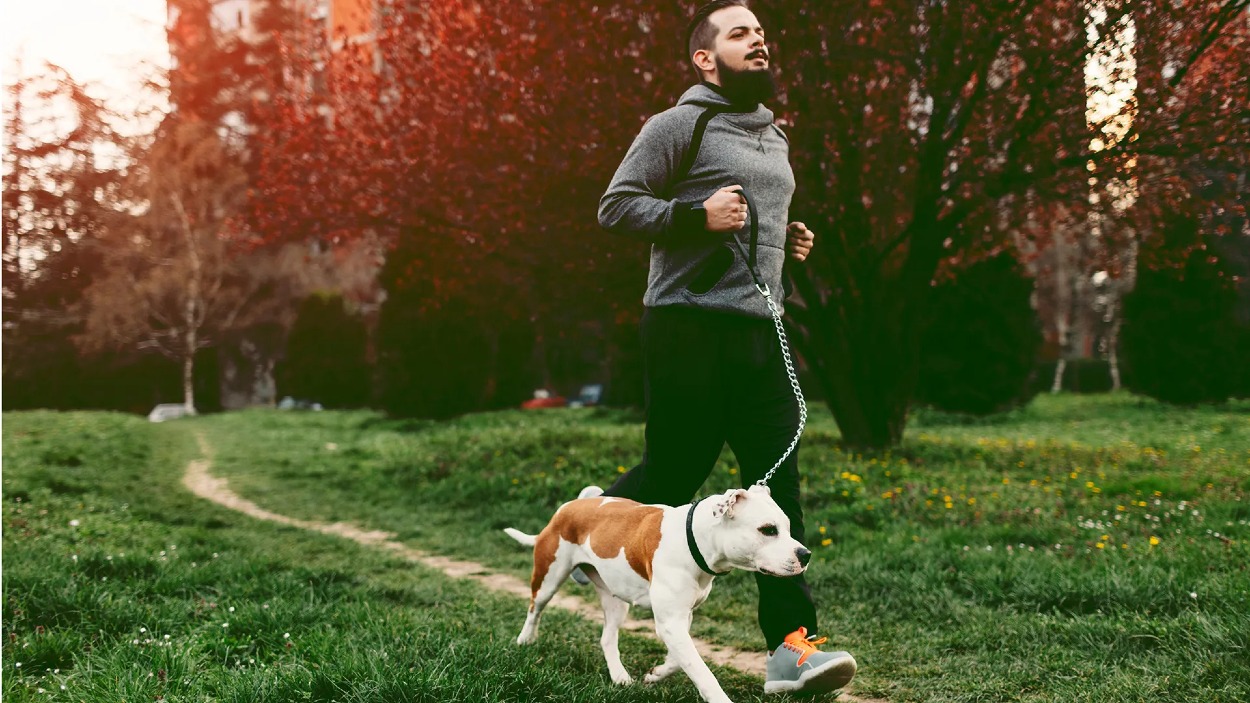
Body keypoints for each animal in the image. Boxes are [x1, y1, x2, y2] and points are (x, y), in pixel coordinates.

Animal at [505, 480, 810, 700]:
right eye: (768, 530)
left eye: (788, 527)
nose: (805, 554)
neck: (695, 539)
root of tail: (568, 506)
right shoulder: (670, 621)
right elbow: (702, 672)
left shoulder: (680, 617)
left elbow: (680, 659)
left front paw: (656, 674)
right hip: (549, 576)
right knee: (534, 608)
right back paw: (525, 640)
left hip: (616, 600)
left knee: (607, 638)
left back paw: (619, 677)